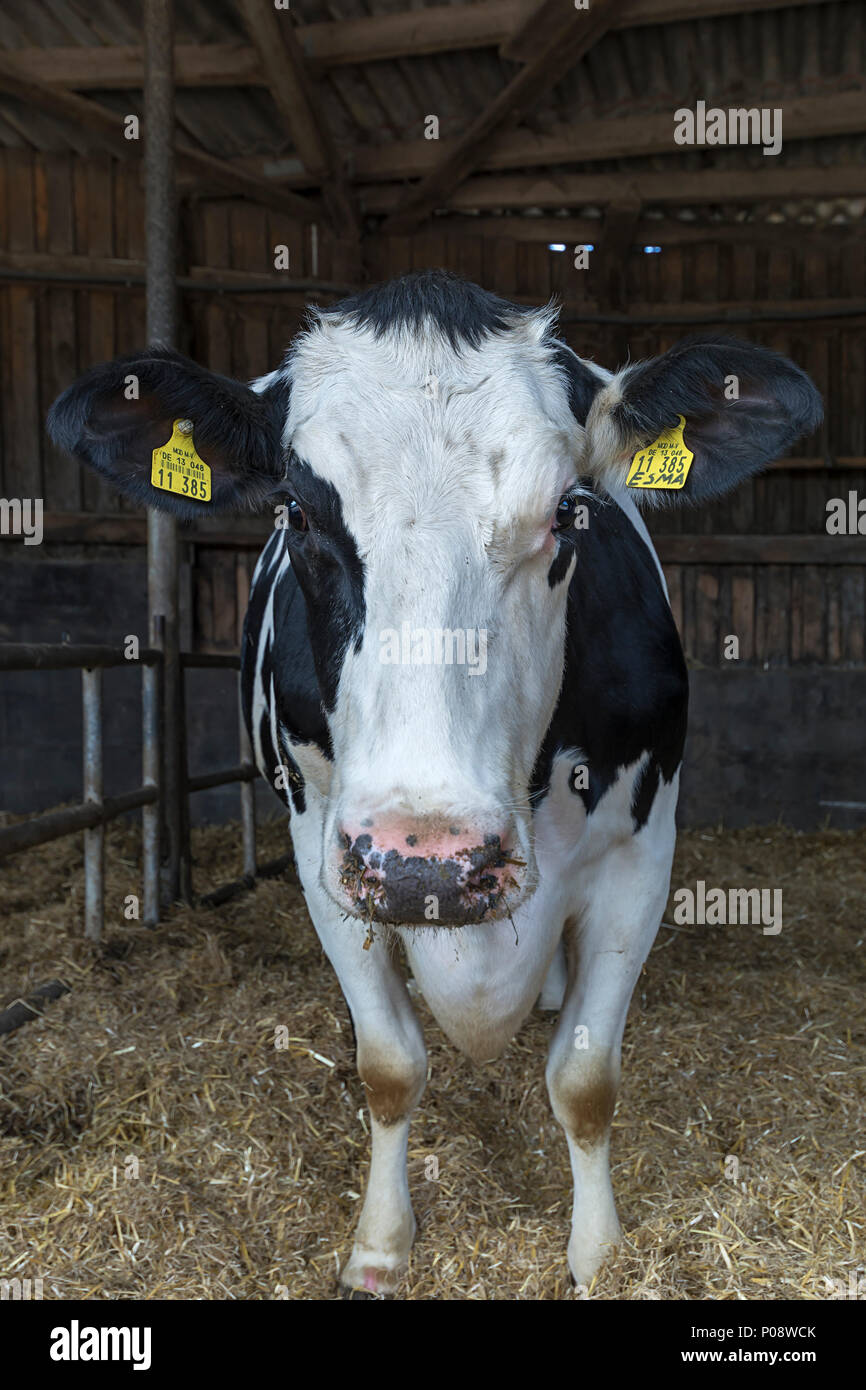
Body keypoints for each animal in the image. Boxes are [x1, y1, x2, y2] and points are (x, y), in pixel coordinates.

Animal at [50, 268, 822, 1289]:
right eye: (297, 513)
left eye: (570, 510)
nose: (430, 860)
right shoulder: (327, 856)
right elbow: (388, 1067)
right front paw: (379, 1247)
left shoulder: (641, 855)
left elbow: (584, 1079)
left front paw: (600, 1256)